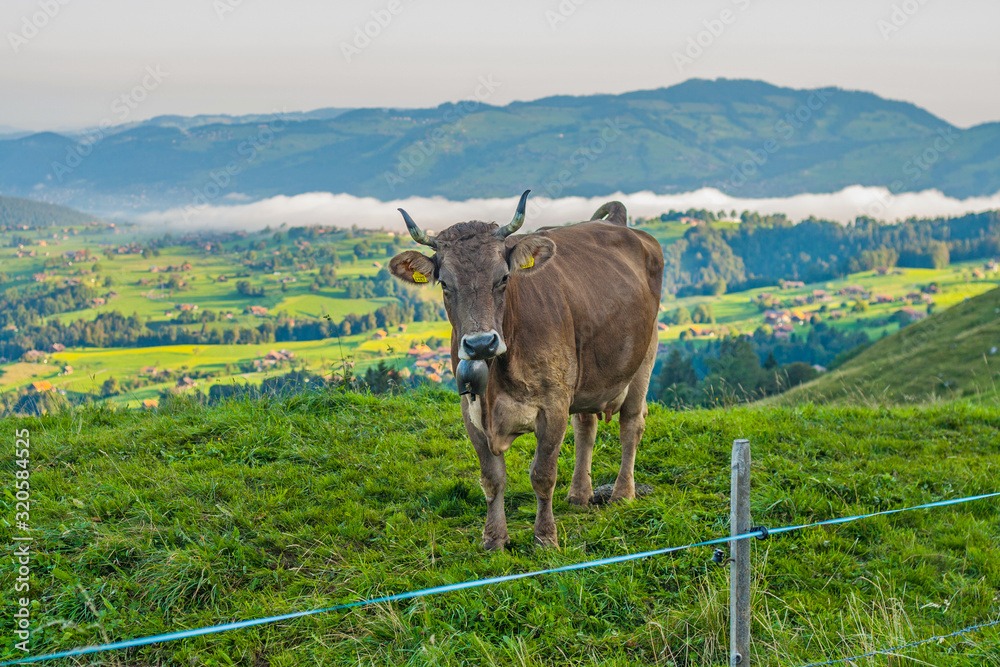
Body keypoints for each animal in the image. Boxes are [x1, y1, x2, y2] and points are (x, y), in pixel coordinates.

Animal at [390, 190, 664, 552]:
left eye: (504, 277)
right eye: (445, 283)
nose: (480, 343)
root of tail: (620, 224)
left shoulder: (553, 405)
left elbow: (542, 475)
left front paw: (545, 537)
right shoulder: (470, 410)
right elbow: (492, 478)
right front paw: (494, 538)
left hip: (644, 355)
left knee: (631, 423)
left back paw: (622, 494)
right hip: (586, 375)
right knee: (586, 427)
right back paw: (579, 495)